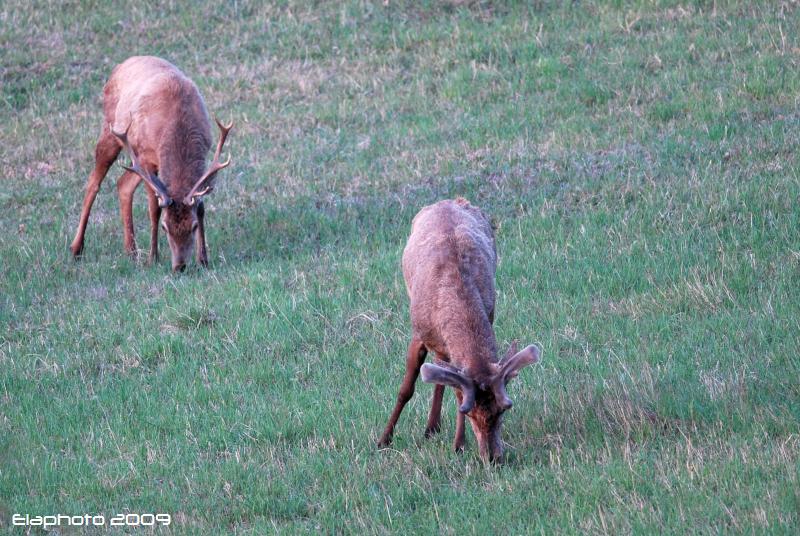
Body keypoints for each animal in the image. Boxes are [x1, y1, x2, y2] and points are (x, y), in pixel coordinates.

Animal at [69, 56, 233, 272]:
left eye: (194, 226)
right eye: (165, 227)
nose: (179, 266)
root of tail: (120, 65)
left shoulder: (204, 153)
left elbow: (200, 206)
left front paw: (203, 260)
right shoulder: (147, 159)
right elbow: (154, 209)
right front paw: (153, 258)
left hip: (134, 158)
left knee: (123, 183)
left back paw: (131, 250)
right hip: (111, 131)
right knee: (93, 183)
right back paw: (76, 248)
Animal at [376, 197, 540, 460]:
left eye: (502, 411)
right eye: (470, 413)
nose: (493, 457)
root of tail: (451, 199)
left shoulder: (489, 314)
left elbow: (454, 389)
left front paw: (459, 444)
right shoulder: (418, 333)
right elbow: (406, 389)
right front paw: (384, 439)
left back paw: (432, 427)